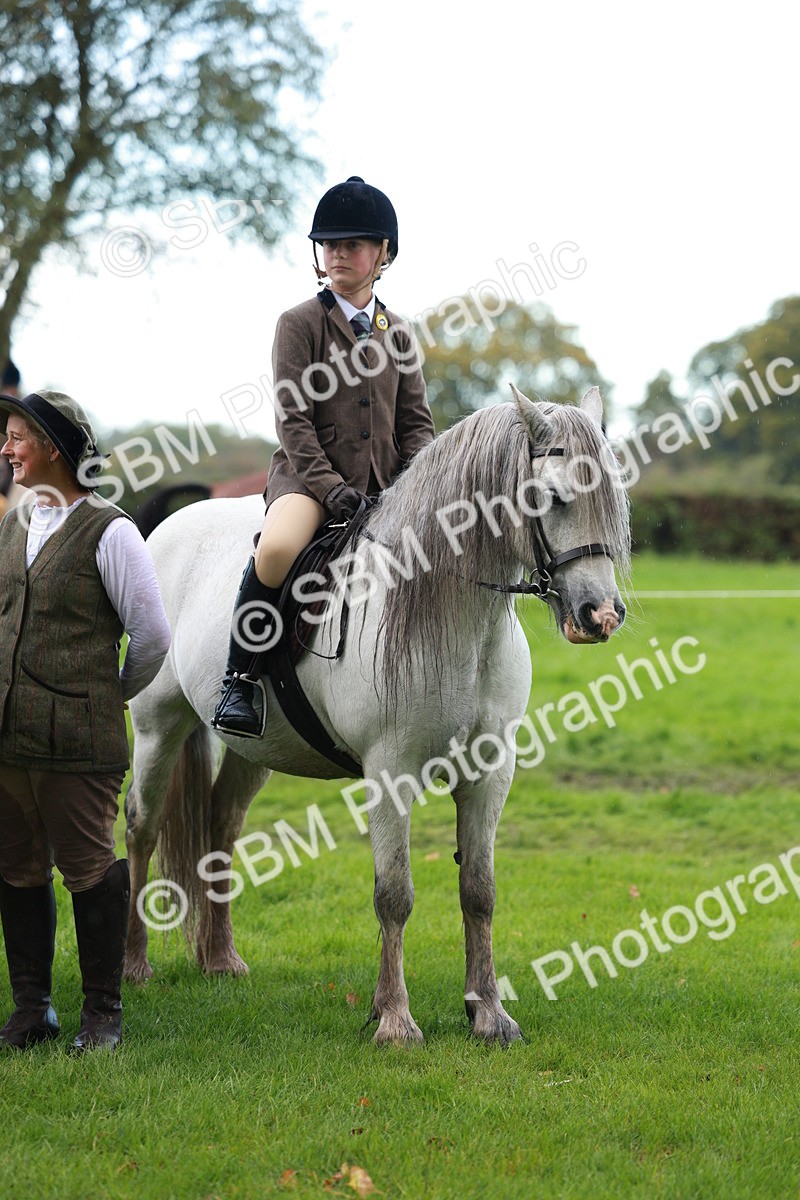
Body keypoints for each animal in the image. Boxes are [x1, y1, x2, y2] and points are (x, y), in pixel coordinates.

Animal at [123, 385, 631, 1046]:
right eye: (550, 497)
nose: (601, 614)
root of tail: (166, 528)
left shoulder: (490, 774)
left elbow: (480, 891)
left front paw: (489, 1014)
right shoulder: (391, 772)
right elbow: (395, 894)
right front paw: (393, 1018)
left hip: (253, 748)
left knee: (219, 828)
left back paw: (221, 959)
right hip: (157, 728)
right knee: (142, 830)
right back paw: (134, 966)